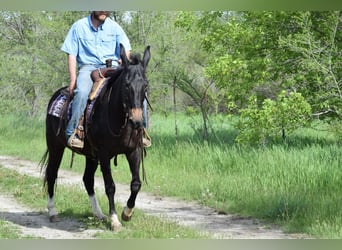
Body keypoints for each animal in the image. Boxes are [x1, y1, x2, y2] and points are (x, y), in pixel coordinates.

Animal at [39, 45, 150, 230]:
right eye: (126, 85)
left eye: (146, 85)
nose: (137, 121)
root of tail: (57, 94)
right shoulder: (104, 155)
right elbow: (110, 186)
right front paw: (114, 220)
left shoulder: (133, 151)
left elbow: (136, 183)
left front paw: (127, 213)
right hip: (55, 146)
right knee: (52, 174)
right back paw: (53, 212)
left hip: (90, 155)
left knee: (87, 179)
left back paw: (98, 214)